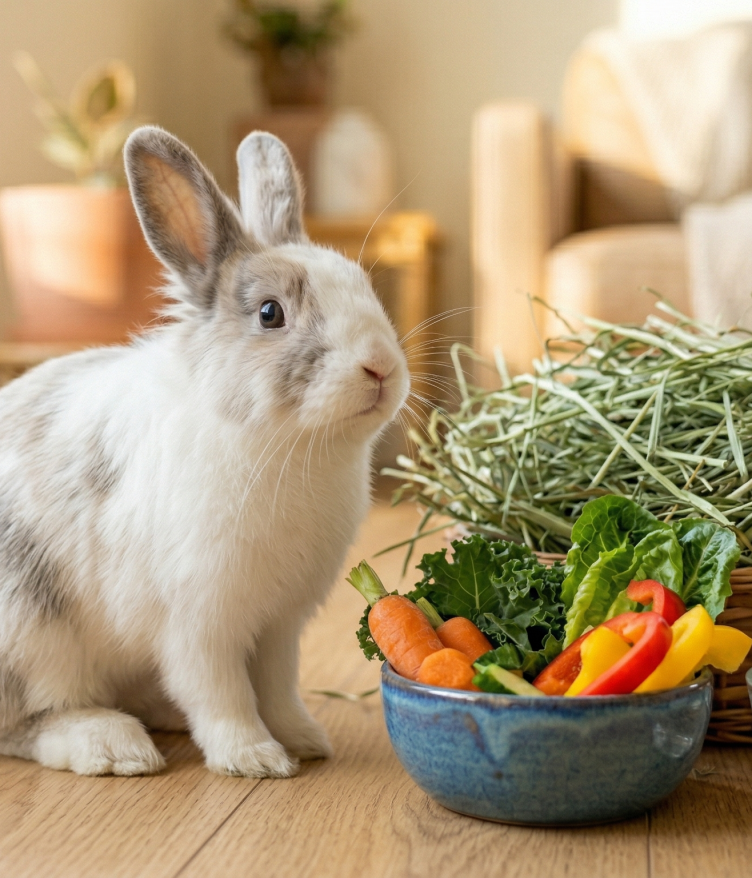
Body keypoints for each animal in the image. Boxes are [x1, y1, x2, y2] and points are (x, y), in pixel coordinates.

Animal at [0, 125, 409, 777]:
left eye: (363, 287)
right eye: (270, 313)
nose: (381, 369)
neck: (284, 445)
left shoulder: (280, 625)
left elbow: (277, 688)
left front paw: (304, 741)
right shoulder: (200, 623)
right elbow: (222, 693)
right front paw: (254, 759)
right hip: (32, 638)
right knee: (25, 723)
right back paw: (113, 744)